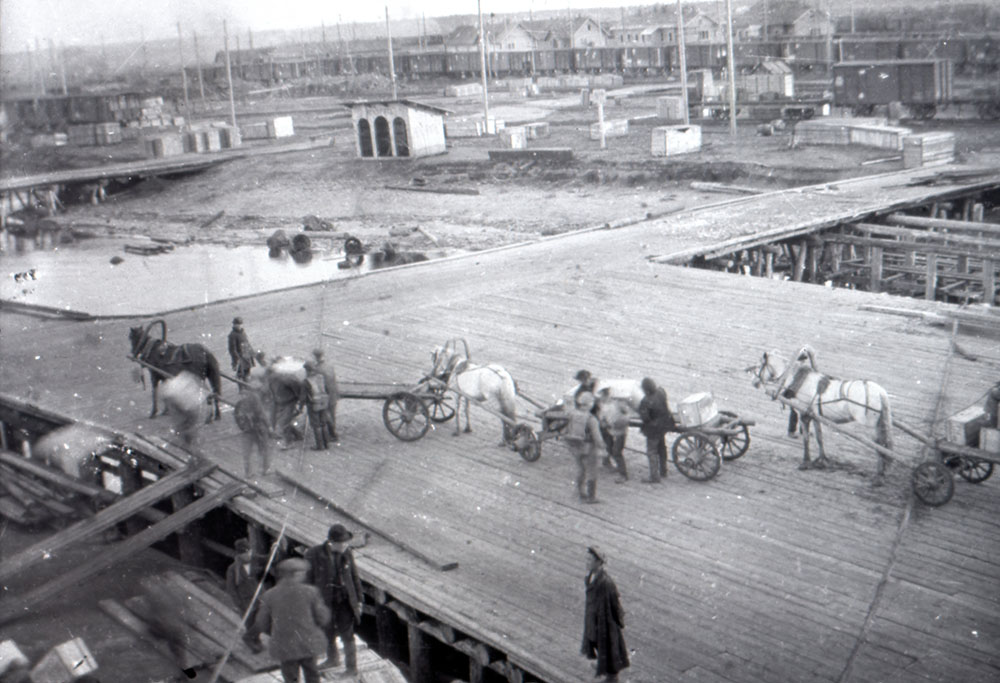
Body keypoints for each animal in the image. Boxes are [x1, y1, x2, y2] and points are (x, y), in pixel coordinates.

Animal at [752, 344, 892, 484]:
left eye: (760, 365)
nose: (754, 382)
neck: (801, 381)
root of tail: (881, 392)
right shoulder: (814, 416)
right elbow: (819, 437)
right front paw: (822, 460)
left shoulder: (804, 415)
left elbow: (806, 439)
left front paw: (805, 462)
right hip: (878, 424)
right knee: (883, 445)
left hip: (870, 426)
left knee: (879, 446)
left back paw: (878, 477)